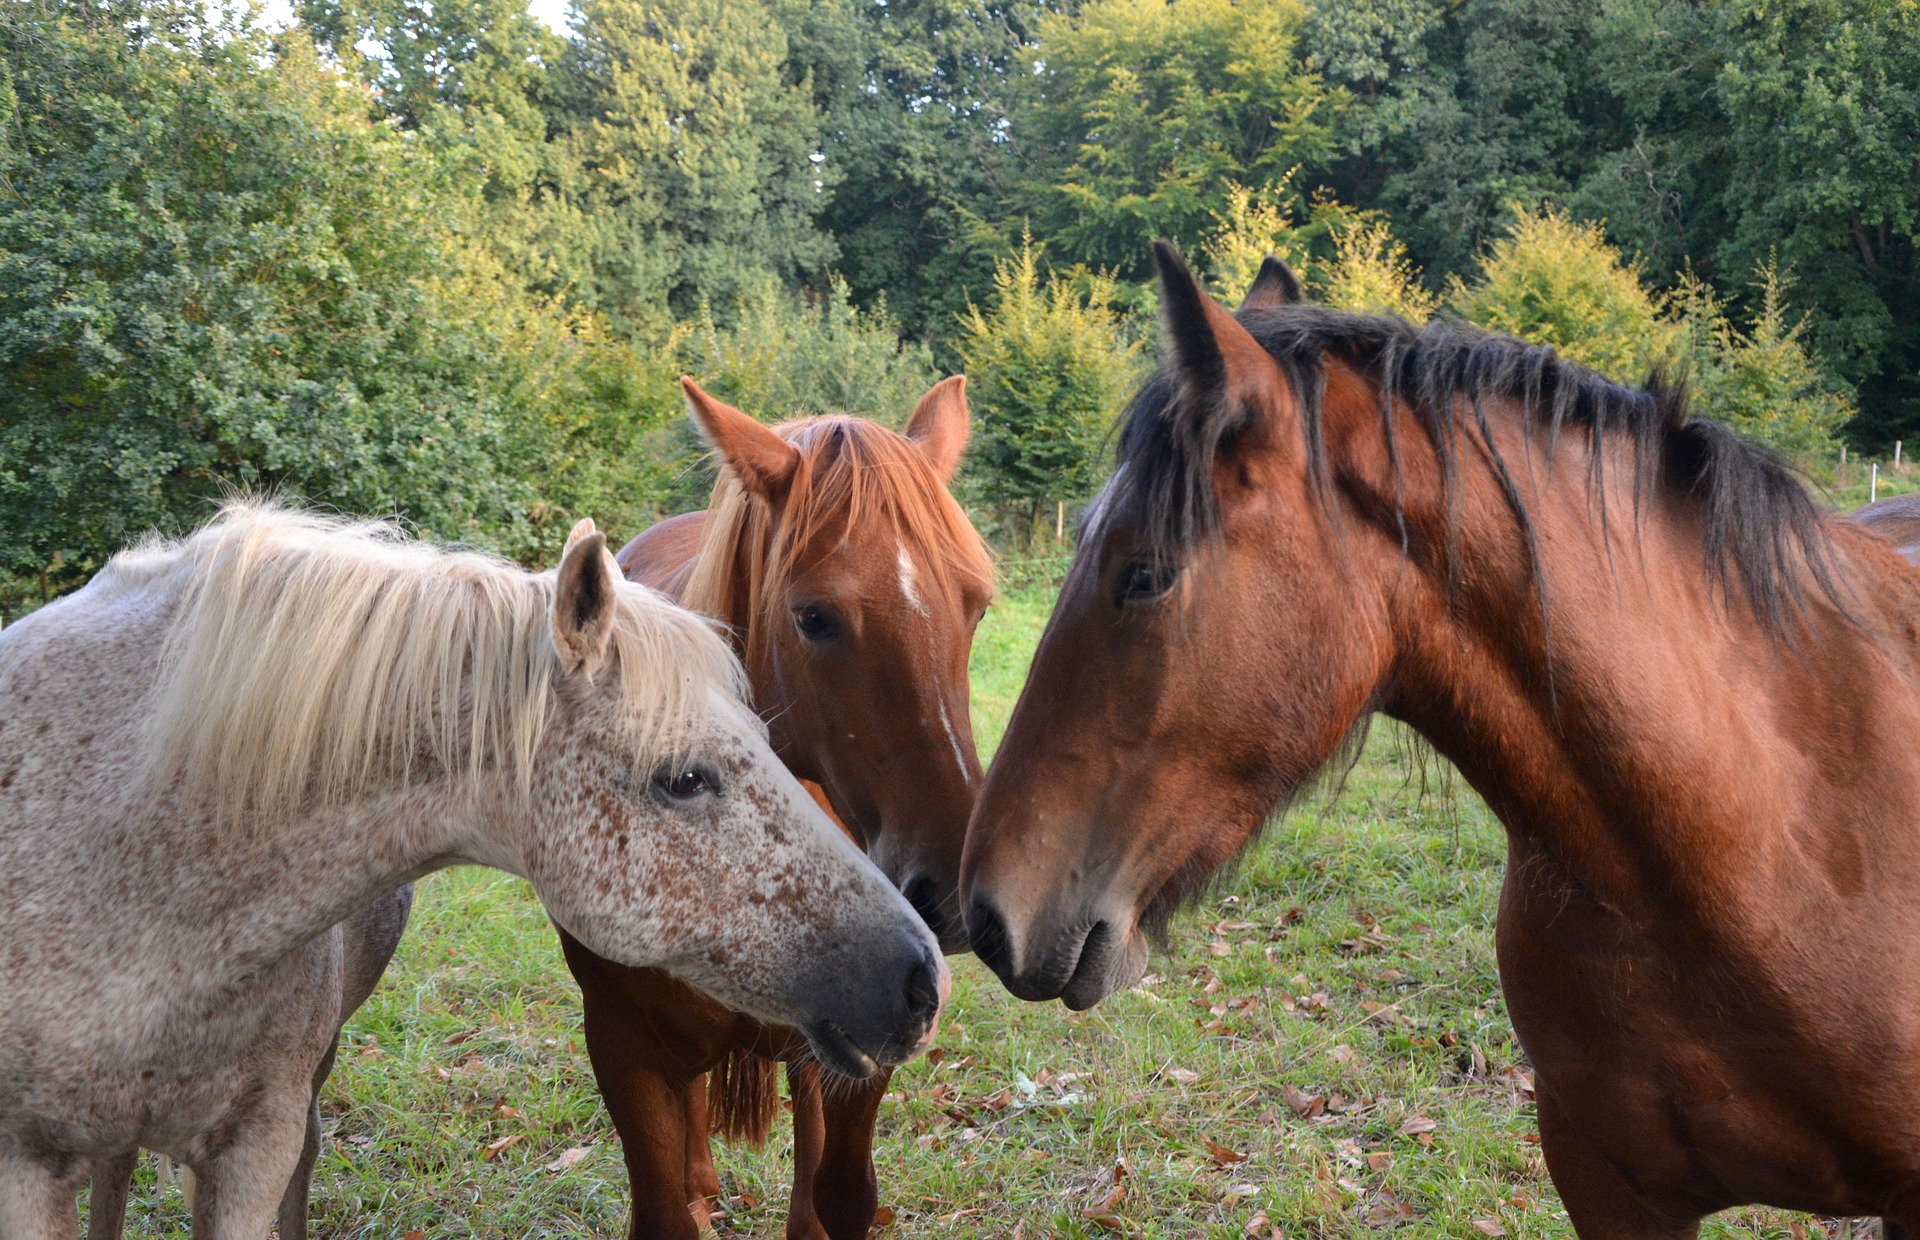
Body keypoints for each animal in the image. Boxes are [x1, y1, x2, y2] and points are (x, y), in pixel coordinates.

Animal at [560, 378, 990, 1240]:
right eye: (814, 618)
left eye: (976, 607)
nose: (953, 893)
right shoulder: (622, 1049)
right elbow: (665, 1209)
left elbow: (841, 1193)